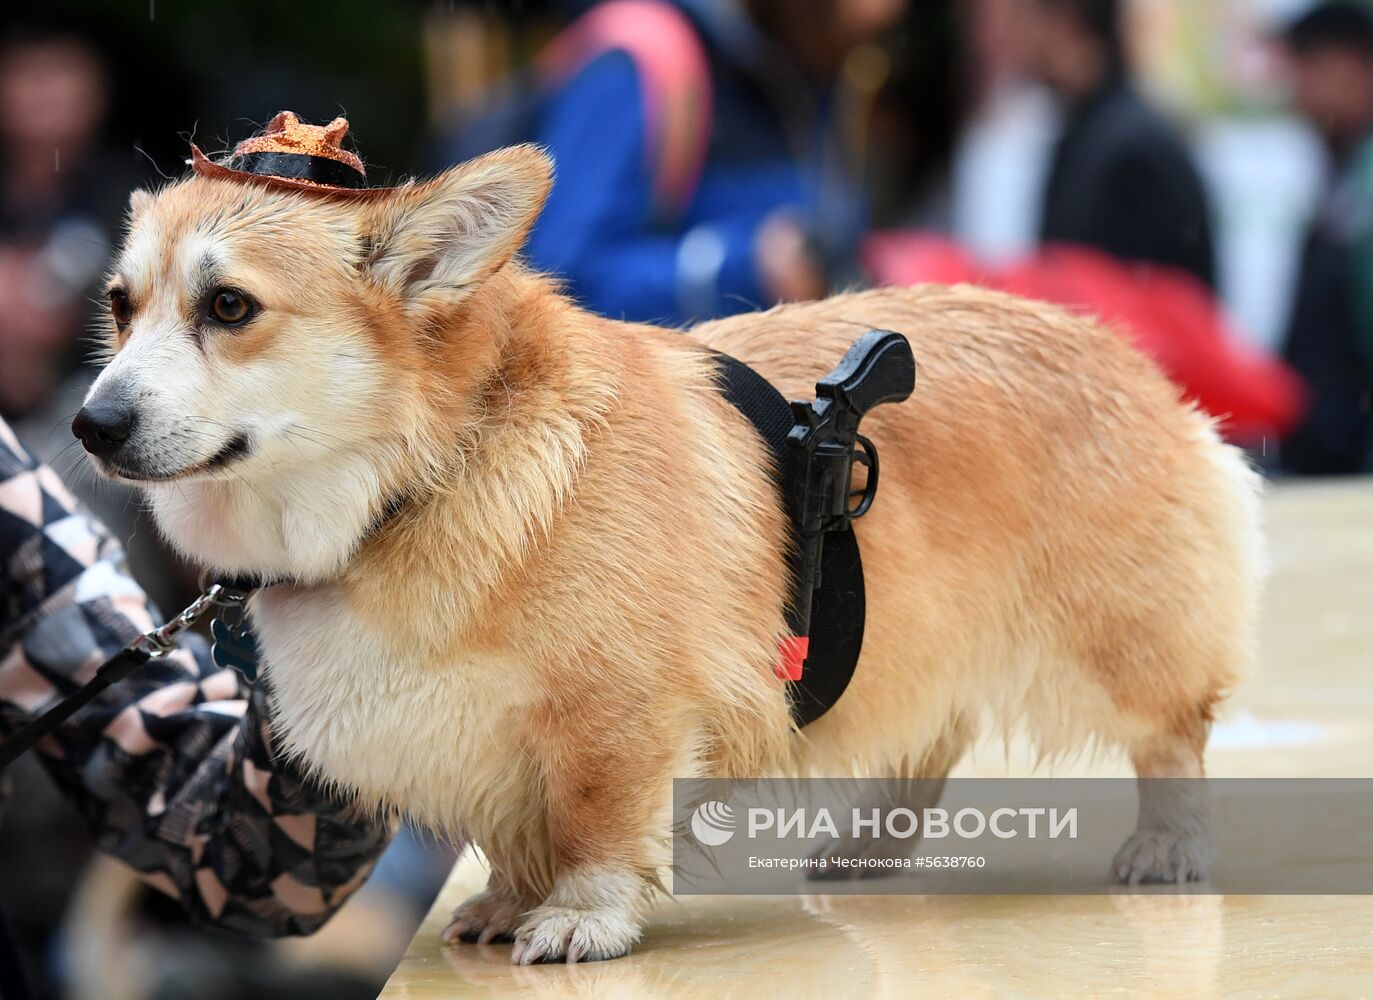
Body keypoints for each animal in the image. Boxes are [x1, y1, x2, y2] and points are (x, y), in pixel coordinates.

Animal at [80, 140, 1263, 961]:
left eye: (230, 306)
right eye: (120, 305)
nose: (91, 425)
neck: (424, 473)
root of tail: (1122, 350)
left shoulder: (617, 715)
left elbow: (596, 825)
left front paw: (578, 920)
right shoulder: (480, 747)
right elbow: (517, 839)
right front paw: (506, 904)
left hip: (1114, 643)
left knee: (1169, 739)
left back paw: (1168, 846)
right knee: (929, 737)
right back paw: (866, 849)